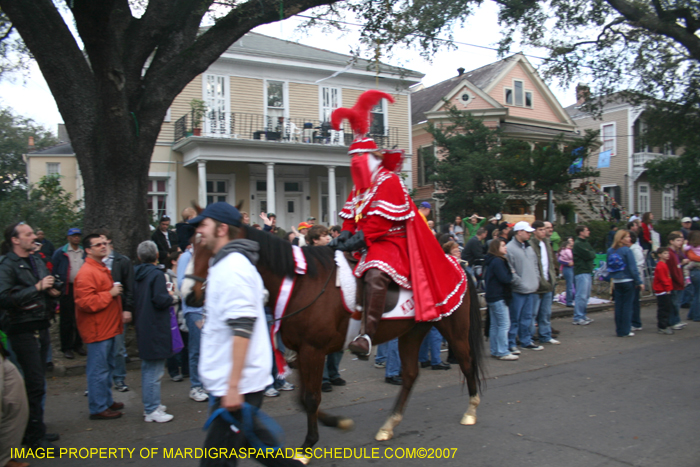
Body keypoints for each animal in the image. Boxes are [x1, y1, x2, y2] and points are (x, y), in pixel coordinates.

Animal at [183, 225, 484, 452]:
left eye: (212, 248)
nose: (187, 294)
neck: (301, 283)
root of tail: (458, 264)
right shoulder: (302, 352)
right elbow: (303, 398)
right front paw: (336, 422)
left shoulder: (312, 350)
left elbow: (311, 397)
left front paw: (308, 444)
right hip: (412, 332)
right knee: (410, 374)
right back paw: (388, 425)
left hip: (453, 328)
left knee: (467, 362)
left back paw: (471, 411)